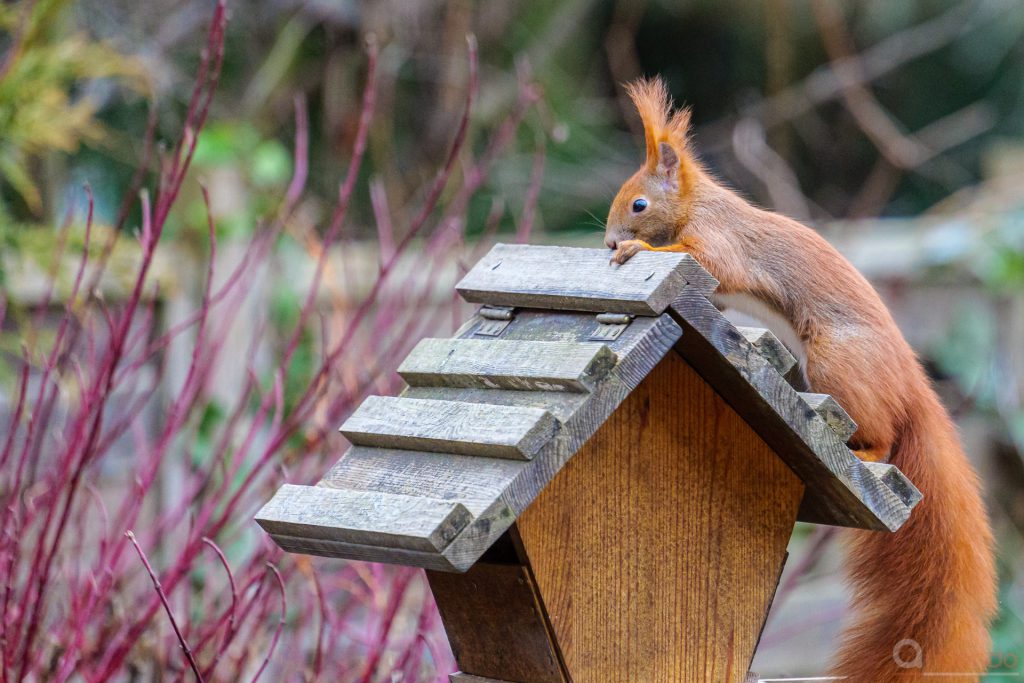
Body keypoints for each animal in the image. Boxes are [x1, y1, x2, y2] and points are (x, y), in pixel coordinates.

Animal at [602, 77, 995, 679]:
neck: (700, 203)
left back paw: (866, 451)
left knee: (884, 436)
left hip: (837, 362)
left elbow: (706, 261)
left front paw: (638, 246)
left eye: (639, 203)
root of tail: (913, 389)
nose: (605, 240)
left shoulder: (720, 242)